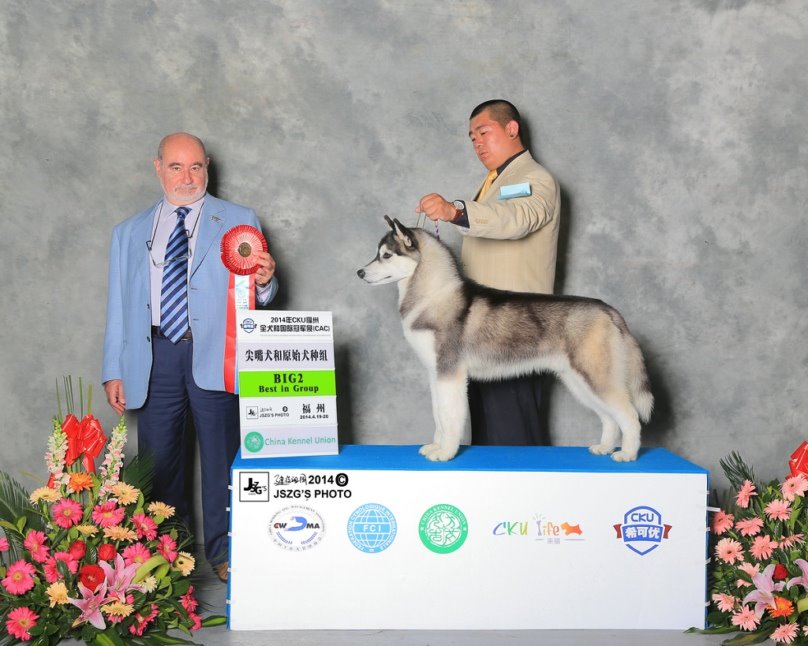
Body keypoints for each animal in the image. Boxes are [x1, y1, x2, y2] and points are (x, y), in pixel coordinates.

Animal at [357, 216, 653, 462]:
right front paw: (436, 446)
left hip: (596, 376)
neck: (433, 295)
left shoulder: (450, 374)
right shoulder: (436, 374)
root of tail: (608, 309)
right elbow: (438, 416)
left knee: (629, 415)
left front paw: (446, 453)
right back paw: (604, 448)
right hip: (578, 381)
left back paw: (627, 454)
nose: (359, 272)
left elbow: (449, 418)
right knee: (609, 417)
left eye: (386, 255)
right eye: (377, 254)